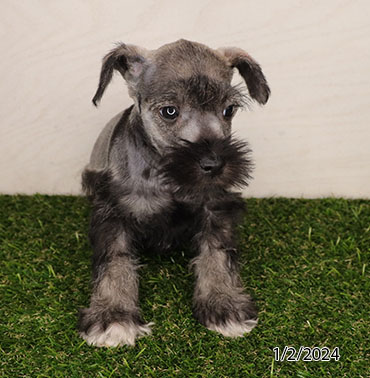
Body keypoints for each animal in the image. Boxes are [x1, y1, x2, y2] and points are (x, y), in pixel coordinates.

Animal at [79, 39, 268, 346]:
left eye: (228, 110)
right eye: (170, 111)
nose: (214, 164)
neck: (168, 176)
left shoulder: (215, 206)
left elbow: (217, 253)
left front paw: (223, 303)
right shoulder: (113, 213)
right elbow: (115, 260)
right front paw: (113, 315)